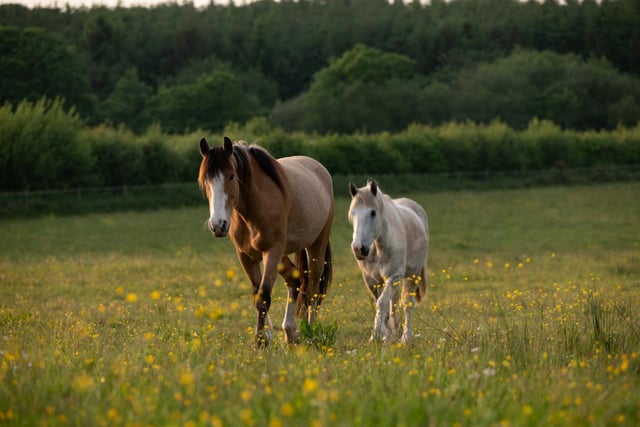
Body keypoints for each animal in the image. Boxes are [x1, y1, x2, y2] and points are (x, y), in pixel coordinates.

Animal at [199, 136, 334, 346]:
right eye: (205, 179)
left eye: (231, 176)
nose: (218, 225)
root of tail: (320, 170)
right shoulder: (246, 255)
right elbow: (257, 294)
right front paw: (265, 336)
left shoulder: (272, 251)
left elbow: (264, 296)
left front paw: (260, 341)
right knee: (295, 278)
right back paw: (290, 331)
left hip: (315, 245)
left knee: (312, 287)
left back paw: (310, 330)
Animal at [348, 180, 429, 343]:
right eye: (352, 213)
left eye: (373, 212)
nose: (358, 248)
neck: (378, 247)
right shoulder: (372, 280)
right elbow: (382, 305)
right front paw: (384, 335)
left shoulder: (393, 276)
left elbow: (382, 303)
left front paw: (376, 335)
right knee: (395, 304)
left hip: (412, 276)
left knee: (407, 304)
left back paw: (406, 338)